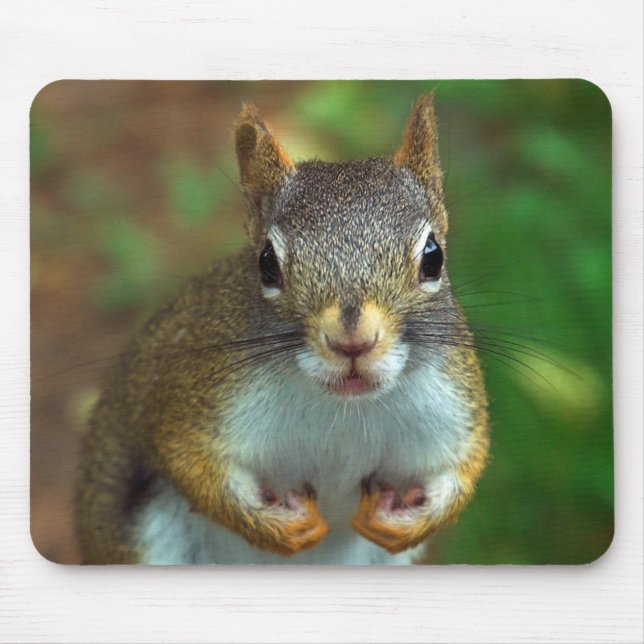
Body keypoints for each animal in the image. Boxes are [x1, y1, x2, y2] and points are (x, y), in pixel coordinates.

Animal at [76, 93, 489, 565]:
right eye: (266, 264)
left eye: (433, 257)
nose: (352, 341)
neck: (343, 410)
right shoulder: (201, 401)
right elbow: (191, 462)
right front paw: (282, 528)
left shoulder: (453, 406)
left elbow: (463, 470)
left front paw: (406, 522)